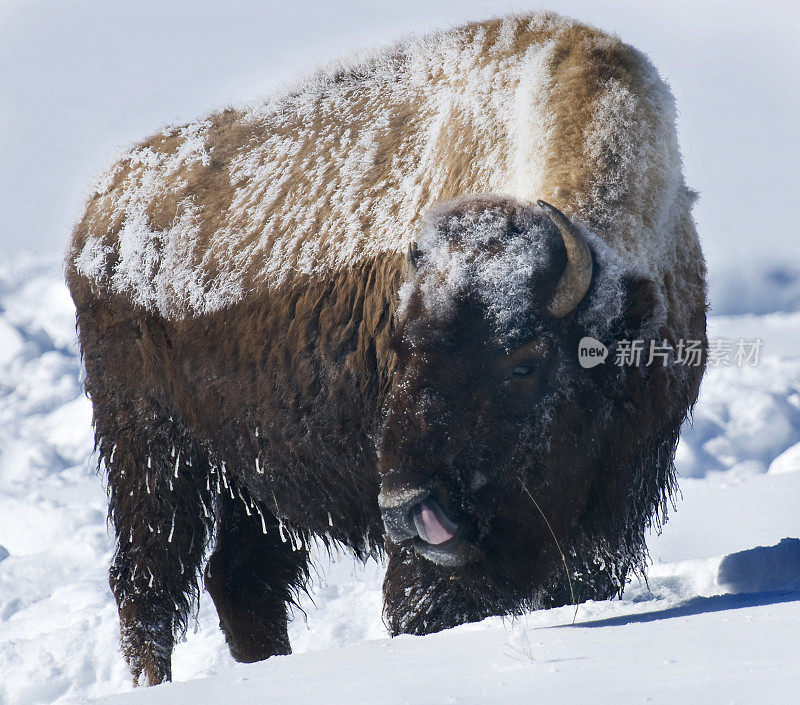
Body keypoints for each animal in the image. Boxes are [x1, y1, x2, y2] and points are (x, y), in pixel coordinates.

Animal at [67, 13, 708, 688]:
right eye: (399, 348)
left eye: (525, 363)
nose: (406, 508)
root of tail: (99, 210)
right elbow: (419, 605)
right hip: (153, 453)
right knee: (148, 582)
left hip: (254, 481)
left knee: (240, 581)